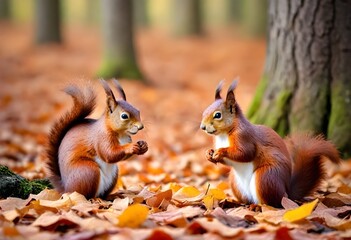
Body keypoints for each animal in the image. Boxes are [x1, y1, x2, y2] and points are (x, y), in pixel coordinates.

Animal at [201, 80, 340, 206]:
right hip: (236, 182)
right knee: (248, 199)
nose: (202, 127)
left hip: (266, 177)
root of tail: (287, 193)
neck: (224, 134)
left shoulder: (244, 137)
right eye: (204, 111)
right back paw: (238, 202)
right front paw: (209, 153)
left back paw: (259, 207)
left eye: (217, 115)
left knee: (272, 202)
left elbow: (245, 153)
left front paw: (221, 152)